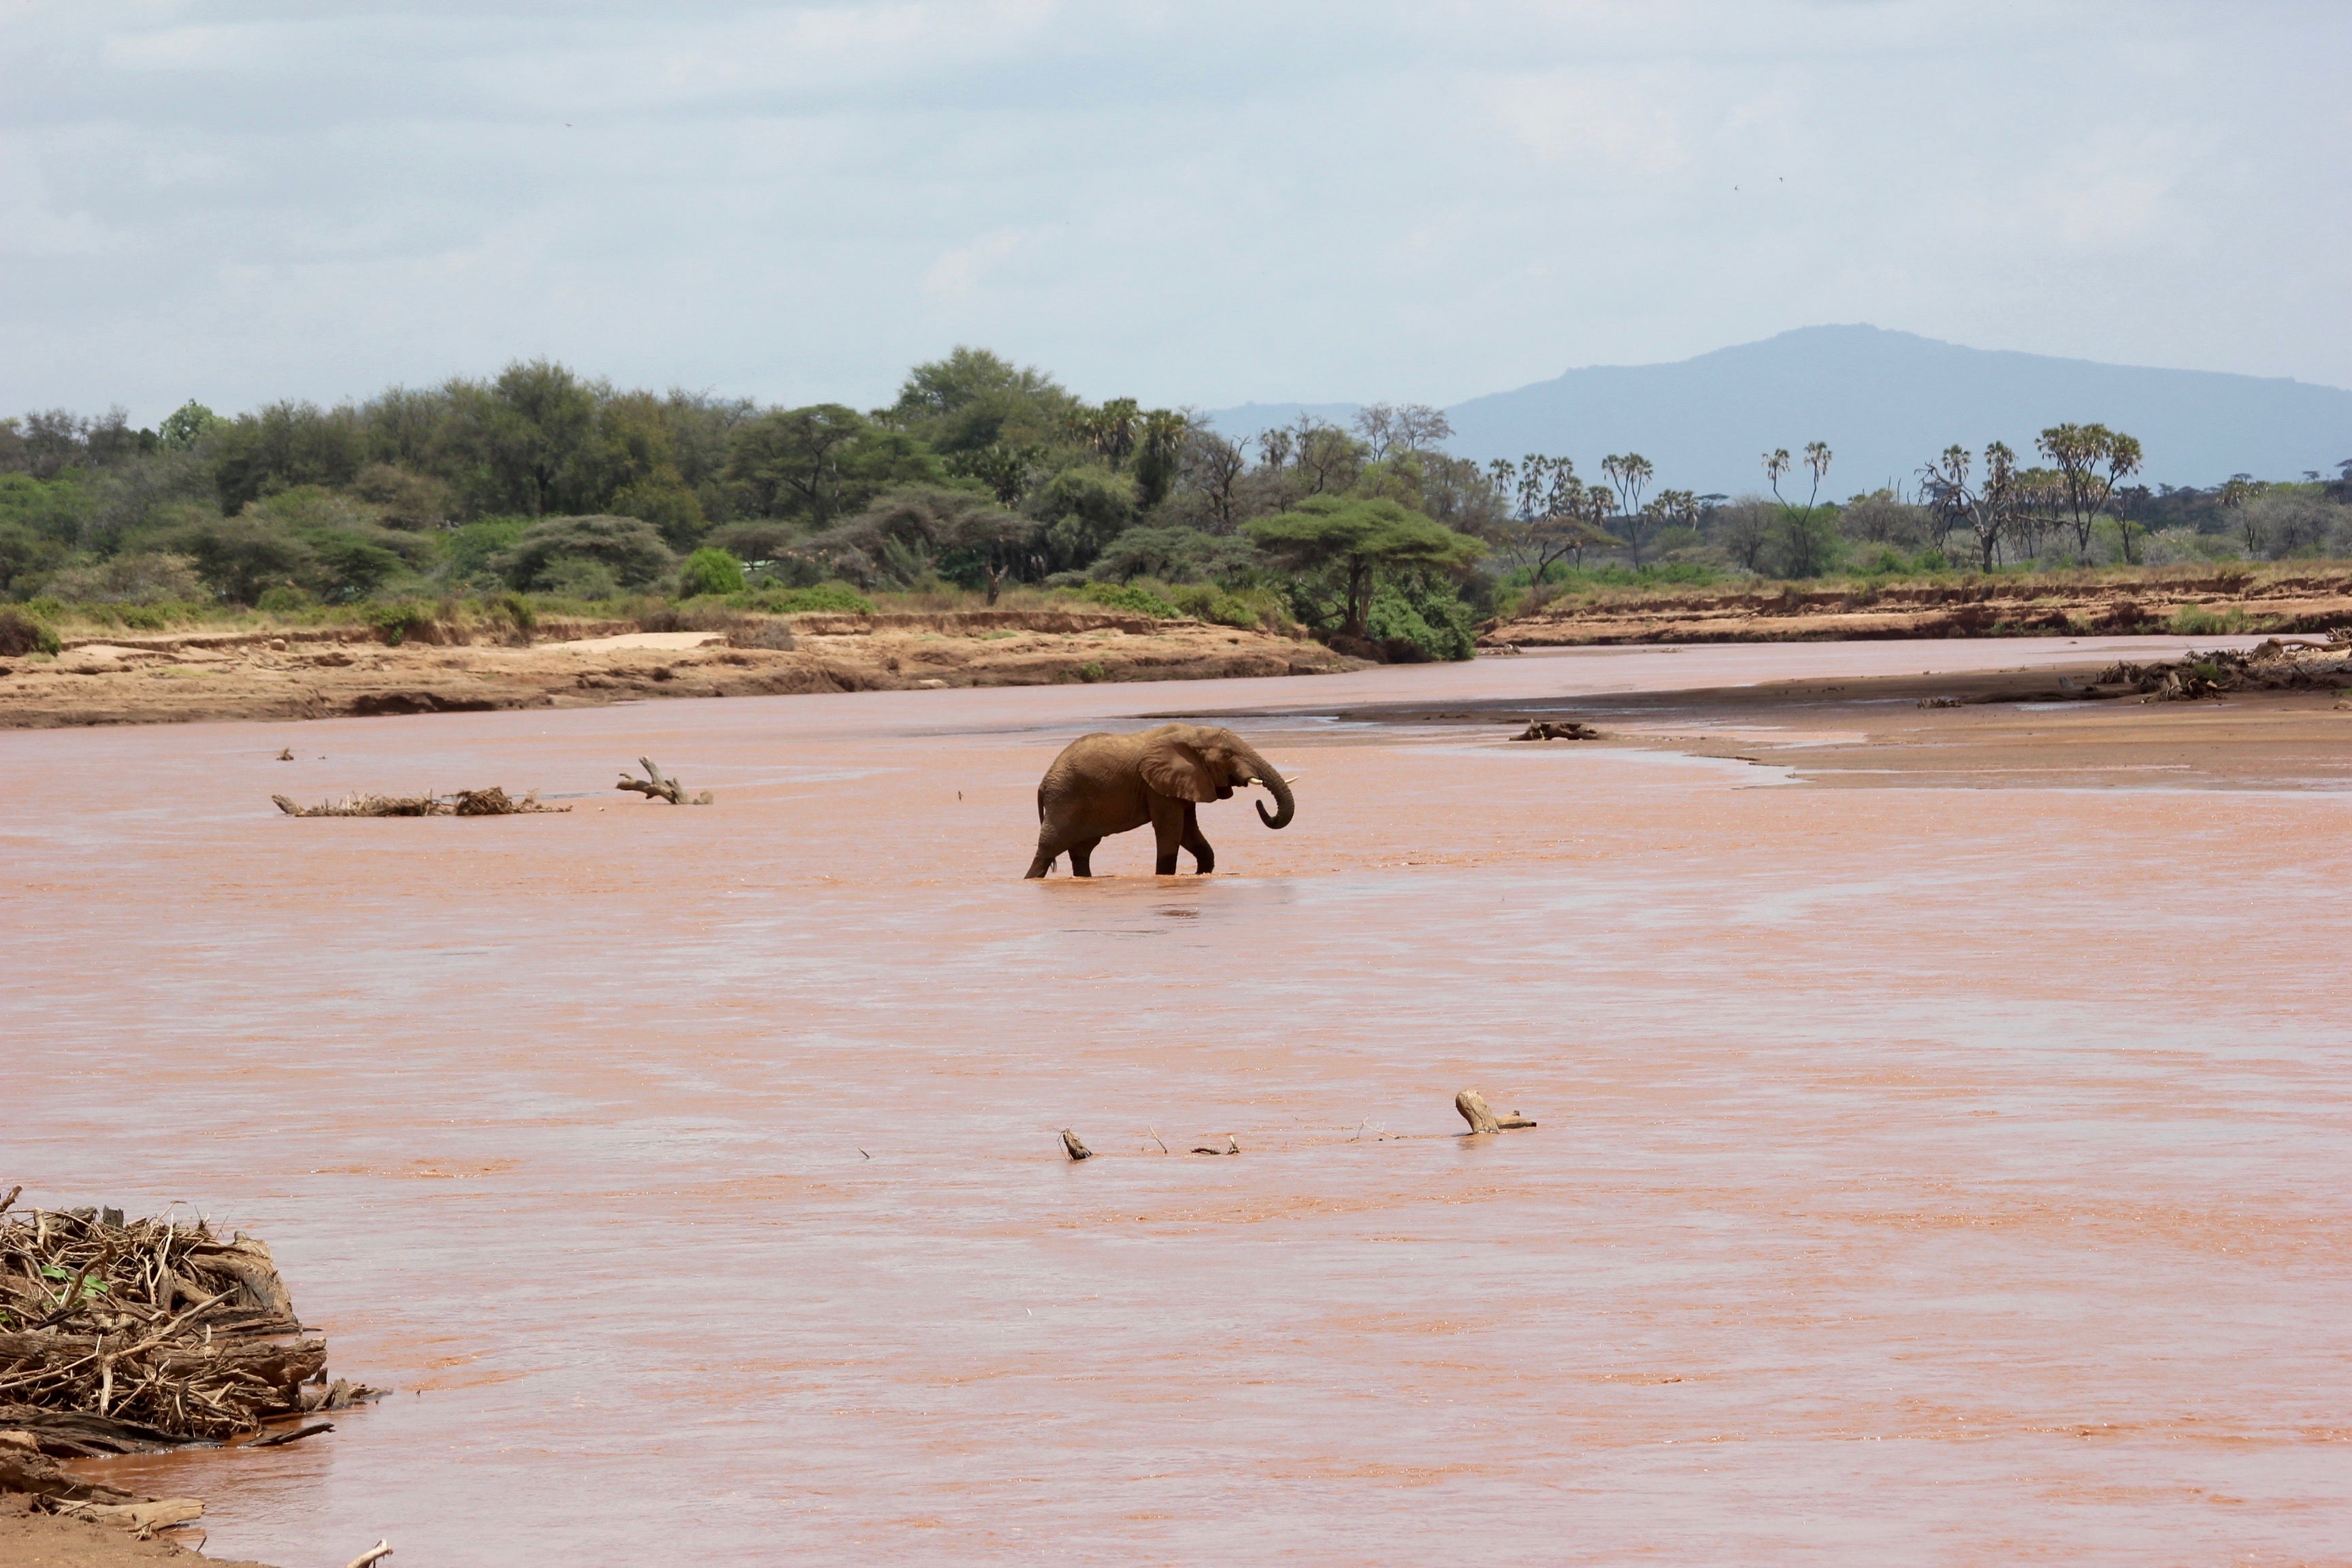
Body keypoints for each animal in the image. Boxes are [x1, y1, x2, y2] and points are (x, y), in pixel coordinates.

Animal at [1025, 728, 1298, 879]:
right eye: (1229, 755)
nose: (1259, 801)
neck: (1191, 734)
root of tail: (1044, 782)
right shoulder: (1157, 787)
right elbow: (1171, 830)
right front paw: (1165, 875)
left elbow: (1189, 832)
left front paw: (1200, 874)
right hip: (1064, 797)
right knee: (1049, 847)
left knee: (1082, 850)